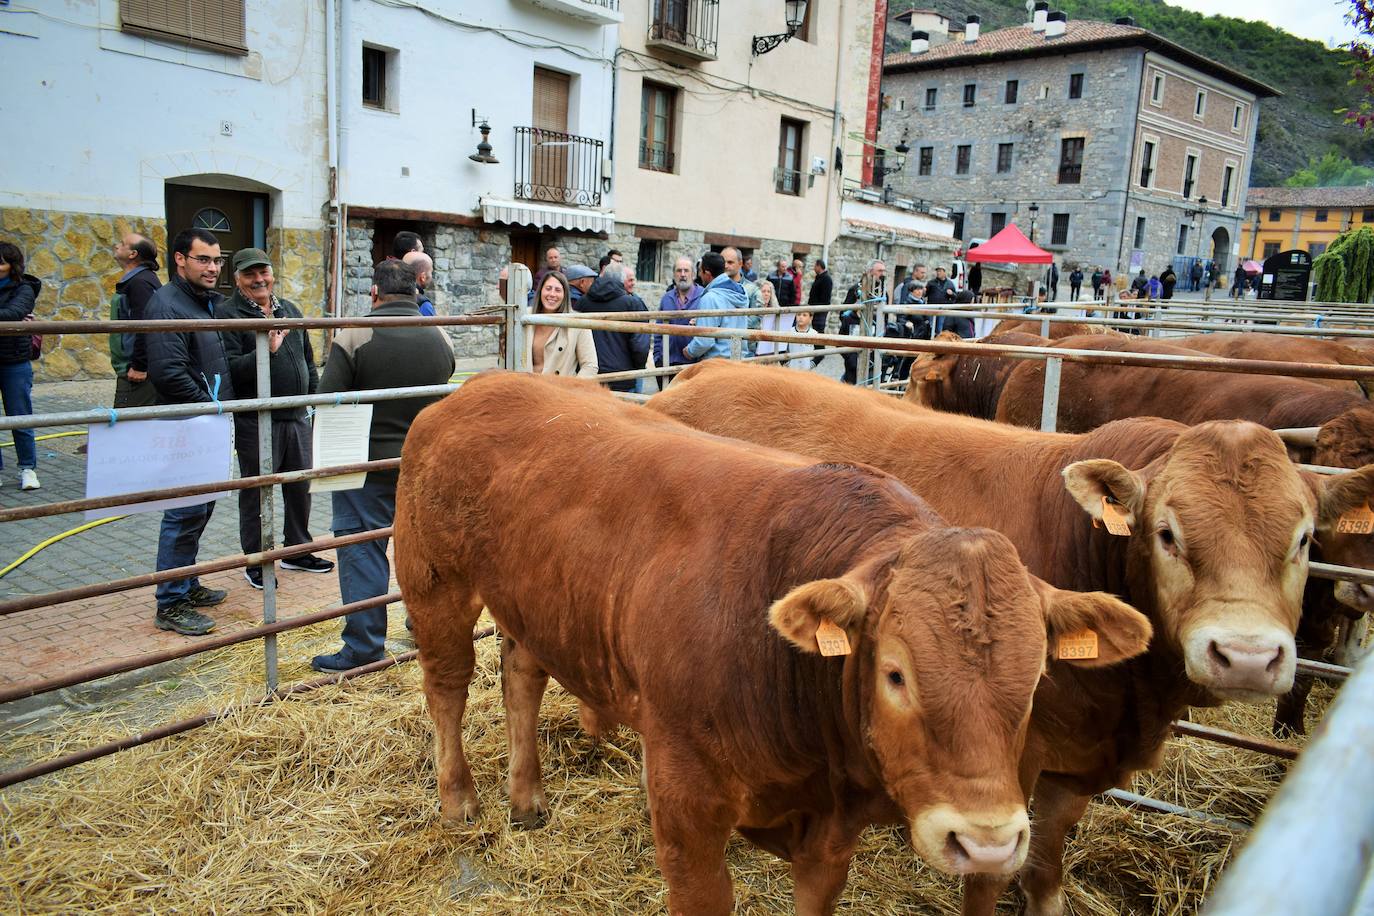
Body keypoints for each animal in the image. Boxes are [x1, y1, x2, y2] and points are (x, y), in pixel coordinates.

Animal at [395, 373, 1148, 916]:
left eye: (1037, 677)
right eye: (895, 674)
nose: (988, 844)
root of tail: (481, 384)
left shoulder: (830, 836)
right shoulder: (686, 803)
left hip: (533, 600)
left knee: (521, 675)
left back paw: (527, 798)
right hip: (432, 580)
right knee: (447, 687)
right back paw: (460, 802)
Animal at [648, 362, 1374, 916]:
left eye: (1303, 538)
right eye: (1167, 532)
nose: (1247, 656)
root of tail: (704, 370)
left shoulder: (1072, 768)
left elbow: (1047, 863)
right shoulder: (1010, 768)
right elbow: (990, 875)